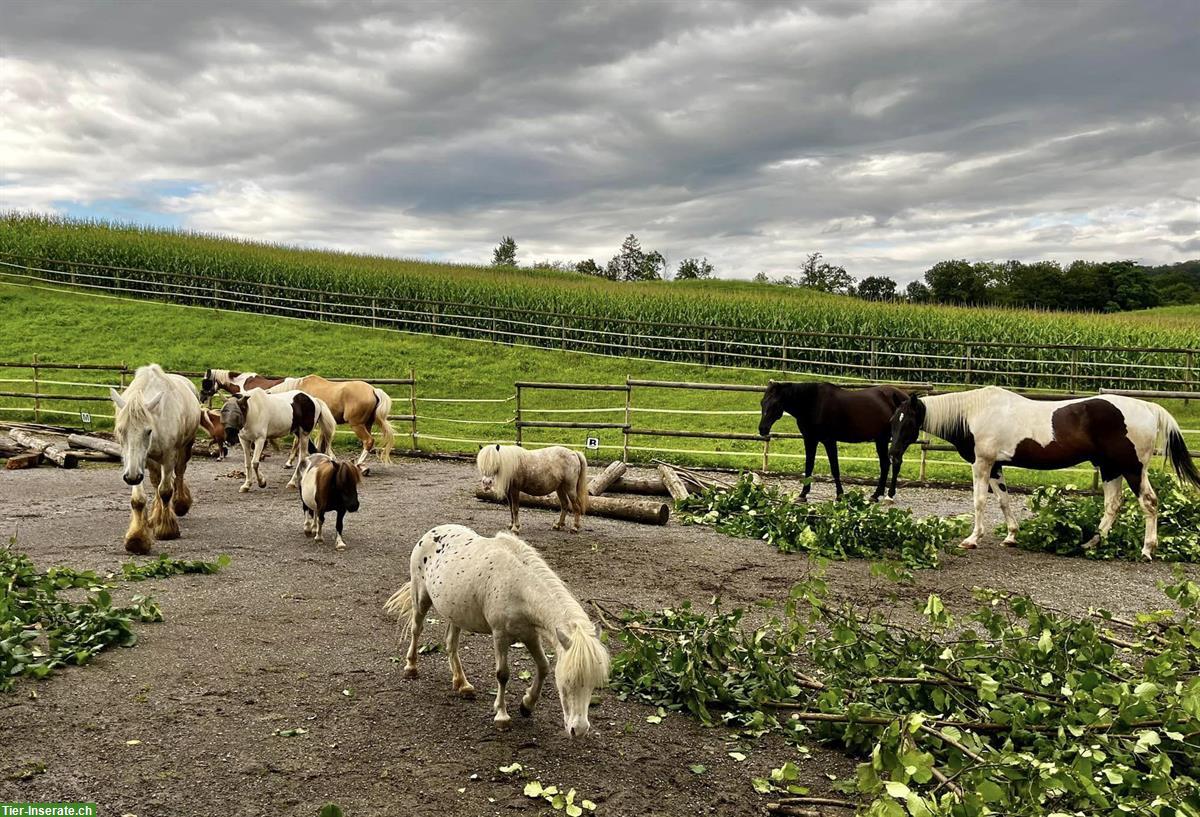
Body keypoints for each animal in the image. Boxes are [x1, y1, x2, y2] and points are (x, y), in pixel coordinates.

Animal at [109, 362, 201, 554]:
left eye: (148, 431)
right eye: (121, 430)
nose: (131, 477)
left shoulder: (168, 456)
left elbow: (165, 490)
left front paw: (167, 529)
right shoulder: (138, 463)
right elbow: (139, 498)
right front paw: (137, 538)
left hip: (185, 448)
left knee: (179, 473)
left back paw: (180, 504)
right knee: (156, 480)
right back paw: (155, 515)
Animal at [384, 525, 609, 734]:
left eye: (593, 683)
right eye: (567, 682)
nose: (579, 730)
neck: (519, 586)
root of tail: (431, 533)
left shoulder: (530, 635)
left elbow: (544, 666)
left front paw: (527, 705)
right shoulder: (500, 636)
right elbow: (503, 674)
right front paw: (502, 716)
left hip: (455, 613)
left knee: (450, 644)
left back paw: (462, 684)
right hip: (420, 598)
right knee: (416, 629)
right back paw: (411, 668)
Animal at [758, 381, 907, 501]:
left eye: (775, 404)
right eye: (762, 402)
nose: (762, 429)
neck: (813, 403)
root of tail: (902, 396)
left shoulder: (829, 440)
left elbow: (835, 468)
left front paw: (840, 495)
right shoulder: (810, 440)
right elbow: (809, 466)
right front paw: (803, 494)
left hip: (884, 439)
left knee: (890, 463)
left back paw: (883, 495)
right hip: (882, 440)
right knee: (888, 463)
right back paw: (879, 495)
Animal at [892, 386, 1200, 556]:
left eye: (908, 422)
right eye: (894, 419)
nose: (893, 452)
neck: (974, 413)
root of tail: (1148, 407)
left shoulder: (982, 463)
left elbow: (979, 502)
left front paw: (972, 539)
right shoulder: (997, 466)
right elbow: (1003, 500)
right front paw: (1011, 536)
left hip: (1132, 468)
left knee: (1149, 502)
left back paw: (1147, 550)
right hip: (1111, 468)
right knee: (1113, 504)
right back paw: (1091, 544)